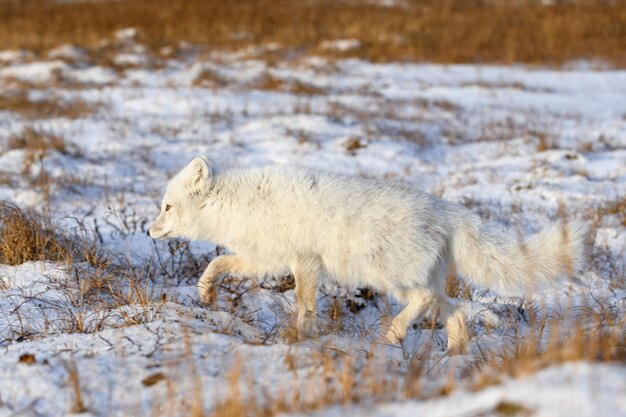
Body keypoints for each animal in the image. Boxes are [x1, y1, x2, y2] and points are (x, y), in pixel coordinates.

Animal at [149, 158, 588, 352]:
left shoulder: (304, 261)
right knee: (455, 311)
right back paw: (451, 357)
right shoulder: (265, 258)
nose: (148, 231)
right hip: (419, 281)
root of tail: (445, 209)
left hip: (390, 277)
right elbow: (217, 264)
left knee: (426, 301)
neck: (240, 204)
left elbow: (304, 304)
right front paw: (205, 294)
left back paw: (393, 335)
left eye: (167, 207)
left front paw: (300, 336)